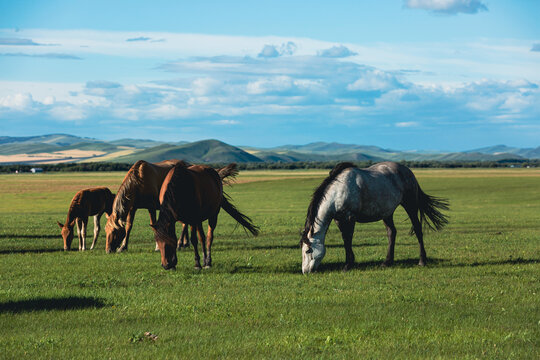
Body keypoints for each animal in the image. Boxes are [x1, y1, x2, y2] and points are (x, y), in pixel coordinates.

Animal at [302, 161, 450, 272]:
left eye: (308, 251)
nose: (305, 271)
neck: (339, 191)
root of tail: (407, 171)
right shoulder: (339, 220)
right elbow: (345, 239)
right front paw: (350, 262)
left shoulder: (349, 218)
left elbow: (347, 239)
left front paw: (348, 264)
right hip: (387, 213)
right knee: (392, 232)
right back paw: (387, 262)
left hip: (410, 205)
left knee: (418, 229)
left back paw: (422, 261)